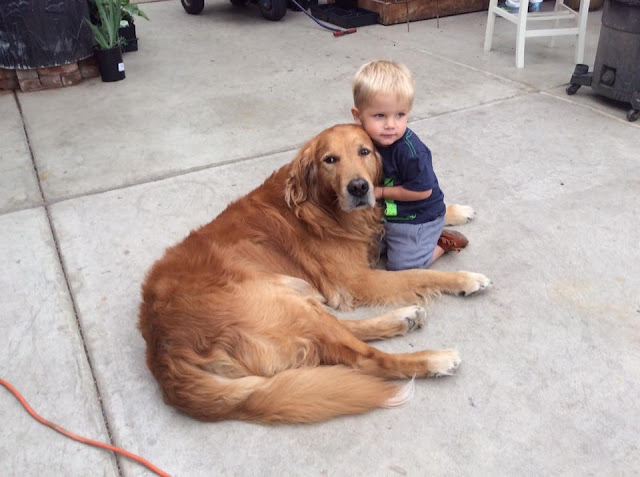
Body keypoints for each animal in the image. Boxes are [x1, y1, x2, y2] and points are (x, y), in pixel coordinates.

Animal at [138, 124, 490, 424]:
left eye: (364, 151)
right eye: (330, 160)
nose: (359, 187)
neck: (320, 204)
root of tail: (163, 351)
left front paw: (456, 210)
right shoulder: (356, 279)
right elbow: (417, 274)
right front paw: (466, 279)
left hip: (296, 298)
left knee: (342, 333)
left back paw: (402, 318)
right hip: (281, 301)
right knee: (362, 357)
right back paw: (434, 359)